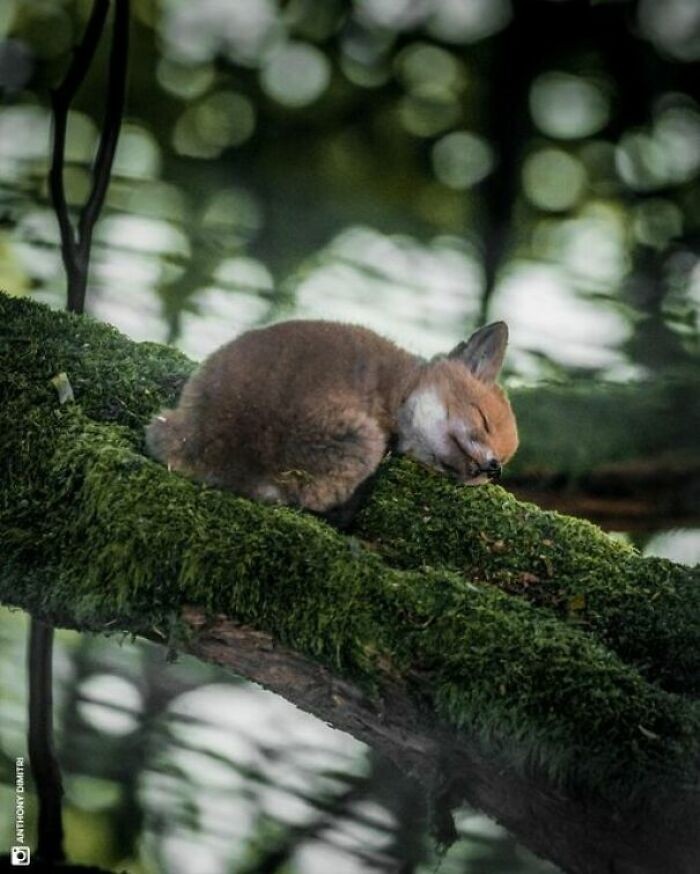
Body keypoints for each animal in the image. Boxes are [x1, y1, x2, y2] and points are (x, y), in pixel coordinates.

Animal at [146, 320, 520, 524]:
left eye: (500, 463)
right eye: (483, 419)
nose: (493, 468)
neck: (400, 388)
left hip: (163, 423)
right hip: (363, 443)